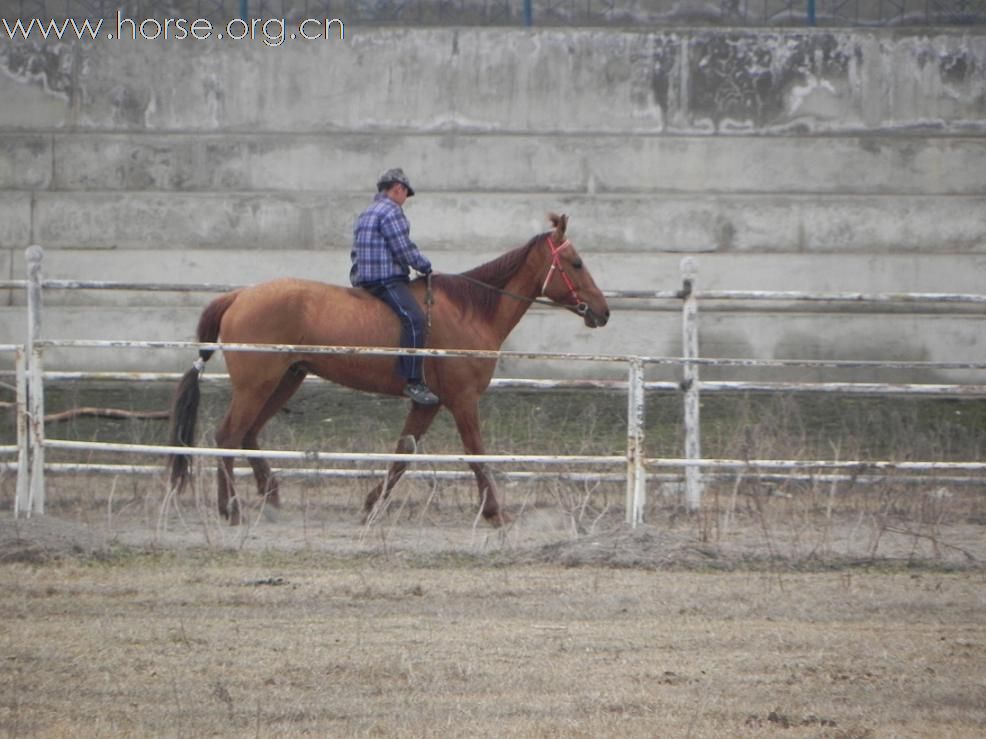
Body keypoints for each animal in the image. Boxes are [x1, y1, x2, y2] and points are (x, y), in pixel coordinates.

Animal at [167, 214, 608, 528]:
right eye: (575, 262)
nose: (602, 312)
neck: (471, 310)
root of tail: (239, 296)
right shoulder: (462, 401)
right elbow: (476, 454)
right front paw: (496, 513)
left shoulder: (428, 404)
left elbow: (402, 454)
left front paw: (370, 506)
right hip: (257, 384)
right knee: (228, 435)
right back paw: (232, 509)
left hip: (284, 381)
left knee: (248, 435)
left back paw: (271, 499)